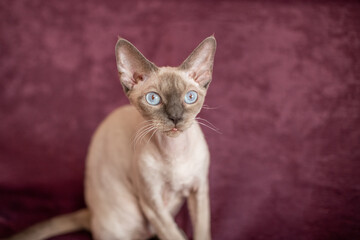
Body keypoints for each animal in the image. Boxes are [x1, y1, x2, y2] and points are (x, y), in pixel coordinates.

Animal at [5, 35, 217, 240]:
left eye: (190, 97)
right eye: (153, 99)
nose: (175, 117)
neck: (174, 151)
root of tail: (90, 214)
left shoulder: (199, 191)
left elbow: (202, 232)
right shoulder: (153, 205)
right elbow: (171, 234)